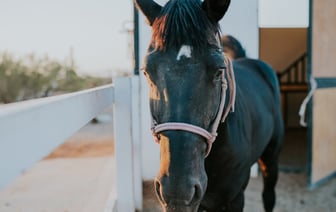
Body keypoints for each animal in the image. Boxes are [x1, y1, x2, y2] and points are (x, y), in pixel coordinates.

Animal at [135, 0, 284, 211]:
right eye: (146, 71)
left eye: (219, 70)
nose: (178, 192)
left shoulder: (235, 199)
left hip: (271, 159)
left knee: (269, 196)